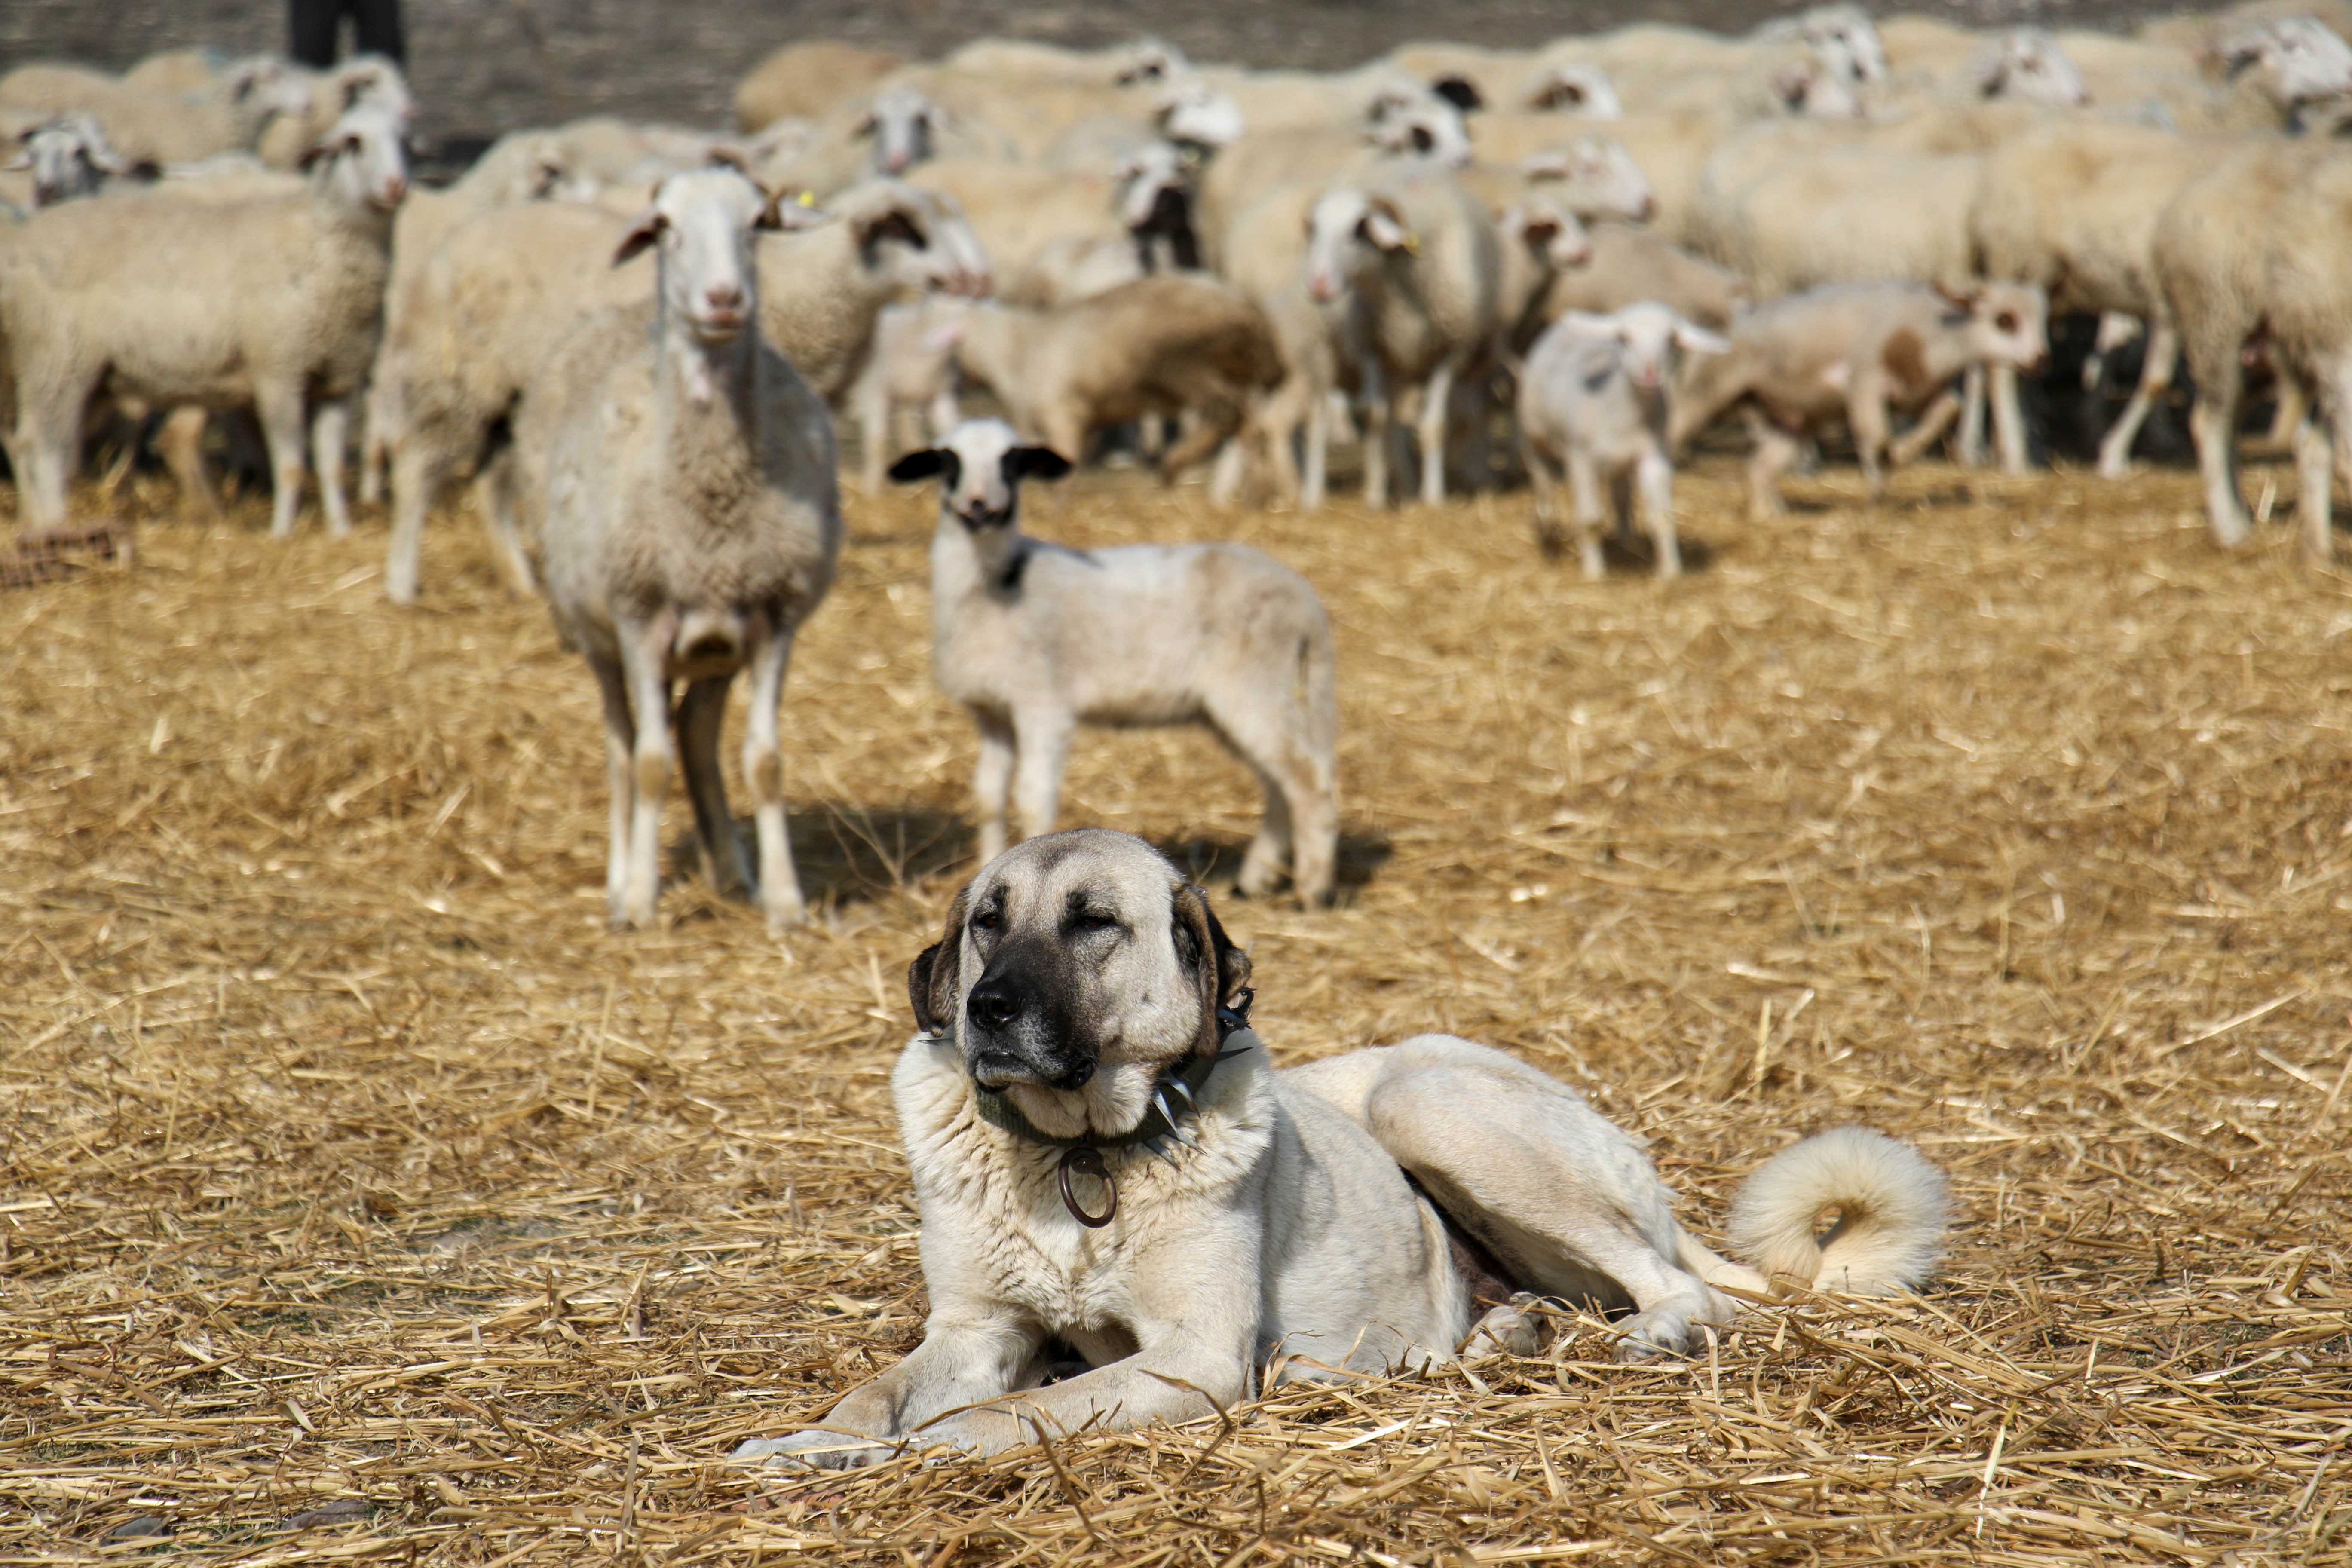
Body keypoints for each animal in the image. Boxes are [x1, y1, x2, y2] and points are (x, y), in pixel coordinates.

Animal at [734, 832, 1947, 1476]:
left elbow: (995, 1415)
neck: (1075, 1158)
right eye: (988, 919)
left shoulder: (1191, 1355)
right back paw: (1497, 1337)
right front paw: (808, 1443)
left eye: (1091, 924)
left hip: (1431, 1102)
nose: (985, 1010)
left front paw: (903, 1453)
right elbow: (879, 1394)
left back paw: (1638, 1336)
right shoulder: (977, 1332)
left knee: (1688, 1292)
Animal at [884, 416, 1336, 907]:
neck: (998, 583)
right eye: (948, 461)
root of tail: (1305, 601)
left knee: (1308, 780)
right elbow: (988, 797)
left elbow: (1032, 798)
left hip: (1254, 683)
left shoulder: (1043, 705)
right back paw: (1256, 881)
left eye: (1013, 462)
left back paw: (1313, 890)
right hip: (1242, 701)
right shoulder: (994, 714)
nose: (980, 507)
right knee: (1280, 782)